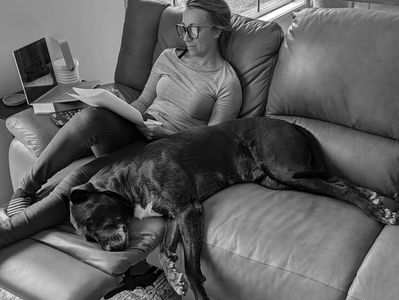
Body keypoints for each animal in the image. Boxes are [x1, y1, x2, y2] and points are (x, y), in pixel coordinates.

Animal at [69, 117, 399, 300]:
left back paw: (377, 211)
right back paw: (372, 196)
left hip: (285, 169)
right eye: (87, 238)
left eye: (92, 221)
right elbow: (164, 251)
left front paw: (195, 289)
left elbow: (192, 267)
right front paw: (173, 277)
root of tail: (290, 123)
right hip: (282, 179)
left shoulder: (189, 210)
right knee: (337, 180)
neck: (129, 180)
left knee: (339, 188)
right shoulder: (176, 216)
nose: (111, 251)